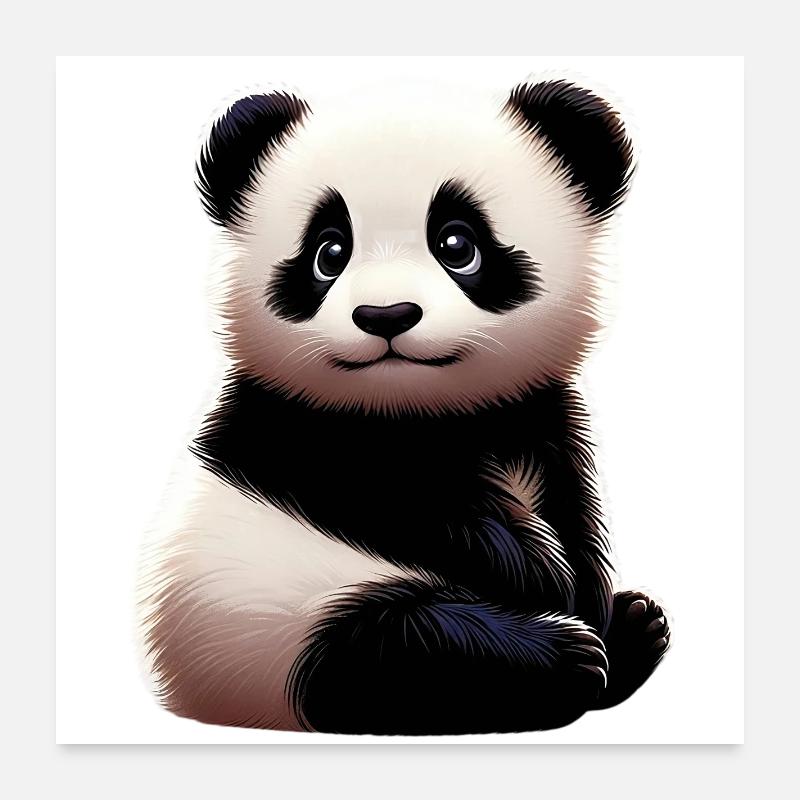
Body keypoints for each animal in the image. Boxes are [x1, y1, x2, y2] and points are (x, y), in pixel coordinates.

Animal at [137, 75, 671, 735]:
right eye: (329, 252)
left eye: (458, 244)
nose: (385, 315)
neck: (420, 411)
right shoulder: (291, 428)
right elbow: (398, 502)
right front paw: (540, 574)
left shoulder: (541, 416)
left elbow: (574, 506)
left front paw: (587, 592)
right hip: (265, 624)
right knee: (395, 651)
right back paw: (569, 657)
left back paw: (634, 629)